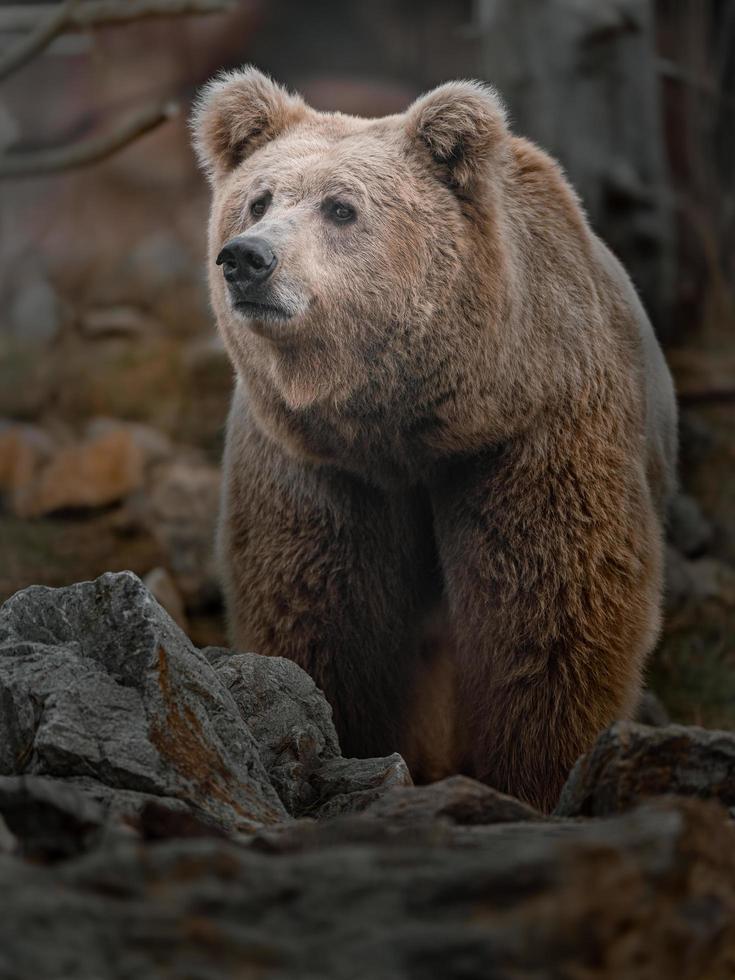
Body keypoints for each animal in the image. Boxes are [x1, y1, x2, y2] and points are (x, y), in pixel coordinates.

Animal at [191, 63, 680, 812]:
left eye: (340, 208)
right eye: (258, 199)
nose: (247, 259)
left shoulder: (535, 431)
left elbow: (550, 614)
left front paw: (538, 779)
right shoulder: (317, 462)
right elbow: (321, 609)